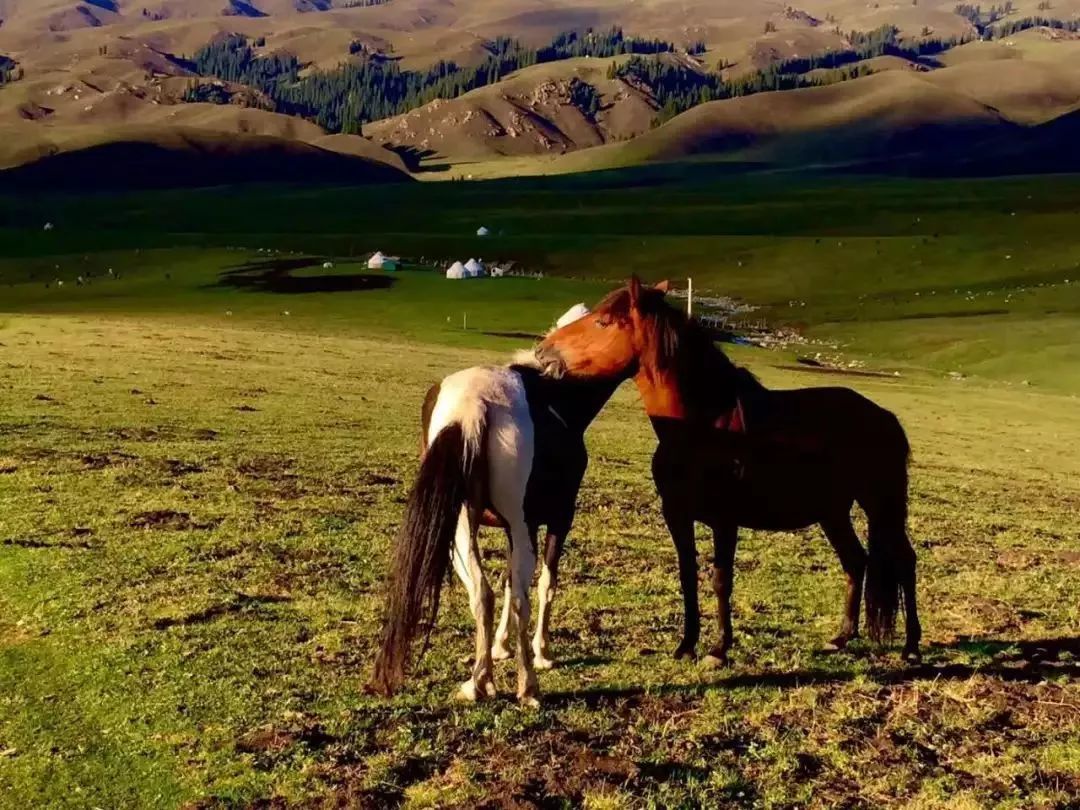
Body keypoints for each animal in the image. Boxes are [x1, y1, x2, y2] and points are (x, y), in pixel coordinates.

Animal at [373, 308, 622, 704]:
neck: (558, 396)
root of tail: (474, 404)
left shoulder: (509, 527)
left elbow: (504, 581)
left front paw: (500, 648)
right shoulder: (555, 519)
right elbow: (545, 583)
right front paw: (542, 652)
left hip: (460, 524)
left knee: (481, 591)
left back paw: (480, 680)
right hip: (514, 525)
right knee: (519, 596)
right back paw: (527, 685)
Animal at [535, 278, 924, 665]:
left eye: (602, 322)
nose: (542, 351)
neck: (703, 426)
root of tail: (885, 418)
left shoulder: (725, 520)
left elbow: (721, 579)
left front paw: (719, 649)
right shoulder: (677, 515)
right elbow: (688, 575)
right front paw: (686, 645)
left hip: (881, 505)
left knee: (904, 561)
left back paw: (911, 647)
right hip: (833, 512)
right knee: (855, 561)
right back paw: (841, 637)